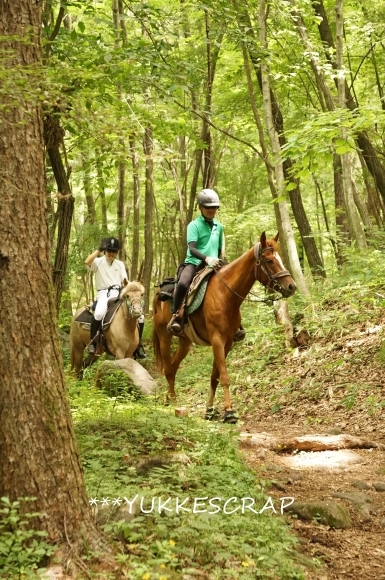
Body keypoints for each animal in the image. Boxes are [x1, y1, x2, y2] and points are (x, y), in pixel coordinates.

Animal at [152, 231, 296, 422]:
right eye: (269, 260)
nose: (291, 286)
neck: (225, 294)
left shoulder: (227, 342)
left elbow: (215, 376)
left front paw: (210, 410)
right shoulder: (217, 340)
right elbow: (225, 377)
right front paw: (229, 411)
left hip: (185, 341)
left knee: (174, 367)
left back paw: (170, 398)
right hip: (164, 336)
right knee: (168, 369)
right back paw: (173, 401)